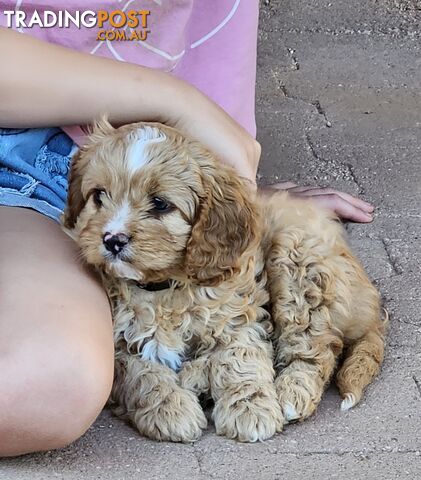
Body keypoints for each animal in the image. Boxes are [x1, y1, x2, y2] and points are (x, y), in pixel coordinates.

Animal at [61, 119, 384, 442]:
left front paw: (251, 409)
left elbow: (240, 360)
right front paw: (170, 408)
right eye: (99, 195)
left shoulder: (239, 317)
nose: (112, 240)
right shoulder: (118, 343)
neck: (163, 288)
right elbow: (141, 374)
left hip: (297, 258)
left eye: (160, 204)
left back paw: (291, 393)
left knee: (317, 348)